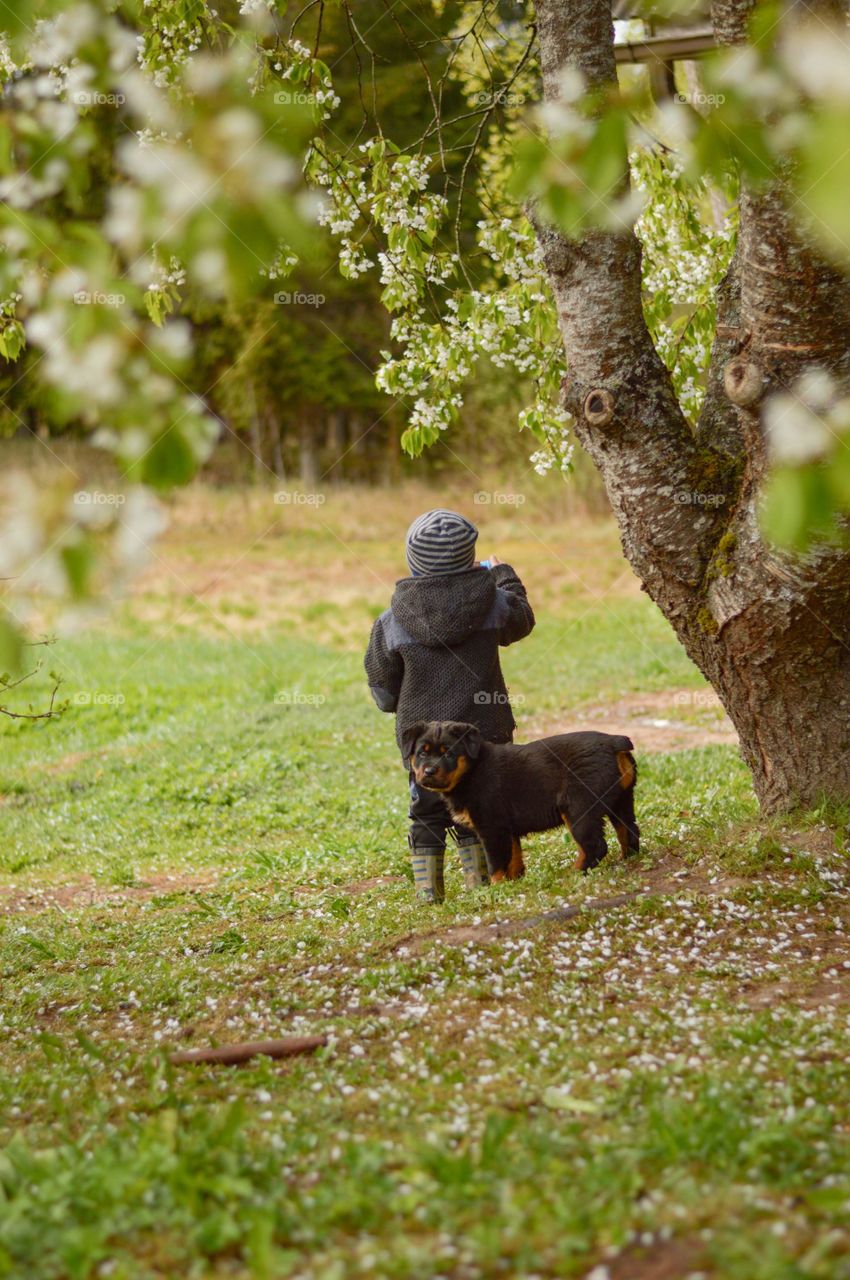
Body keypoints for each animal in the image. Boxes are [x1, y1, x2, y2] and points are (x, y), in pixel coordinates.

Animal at [404, 721, 637, 880]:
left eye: (449, 754)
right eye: (422, 753)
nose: (429, 771)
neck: (470, 771)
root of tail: (613, 741)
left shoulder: (491, 828)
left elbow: (496, 863)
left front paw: (496, 887)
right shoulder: (506, 828)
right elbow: (514, 857)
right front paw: (514, 882)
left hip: (578, 808)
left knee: (595, 845)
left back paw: (573, 872)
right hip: (622, 800)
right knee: (628, 831)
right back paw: (627, 859)